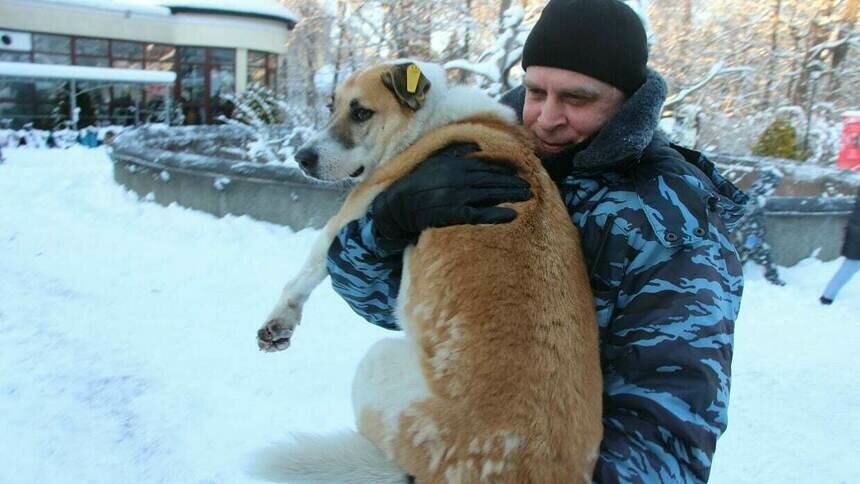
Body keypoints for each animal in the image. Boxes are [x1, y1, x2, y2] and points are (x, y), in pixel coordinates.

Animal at [250, 61, 596, 484]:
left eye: (361, 113)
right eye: (331, 106)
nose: (302, 158)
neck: (431, 120)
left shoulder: (354, 208)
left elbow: (305, 274)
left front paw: (279, 322)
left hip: (377, 363)